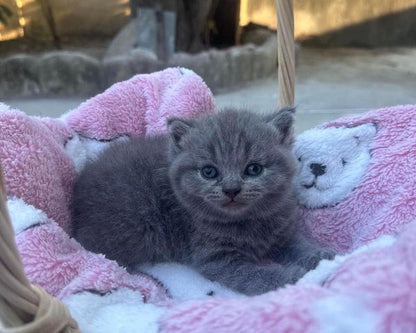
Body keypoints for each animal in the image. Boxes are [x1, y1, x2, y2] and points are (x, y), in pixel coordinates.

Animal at [70, 107, 332, 294]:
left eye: (254, 169)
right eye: (209, 172)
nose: (231, 189)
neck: (250, 222)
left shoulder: (282, 232)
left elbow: (298, 243)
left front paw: (319, 256)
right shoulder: (217, 257)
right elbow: (253, 275)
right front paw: (293, 277)